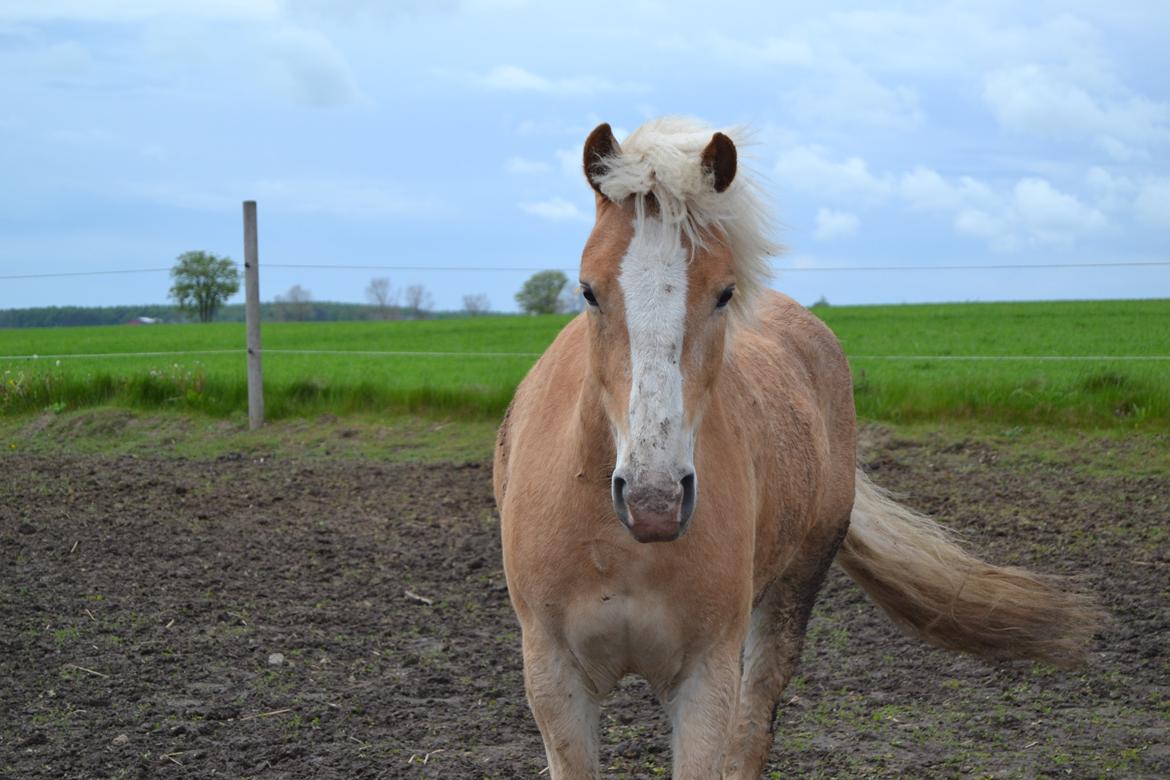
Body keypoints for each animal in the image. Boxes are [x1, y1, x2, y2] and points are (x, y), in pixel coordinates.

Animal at [496, 117, 1104, 780]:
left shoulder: (705, 680)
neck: (622, 550)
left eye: (724, 292)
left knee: (755, 726)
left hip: (791, 592)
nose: (654, 502)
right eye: (588, 290)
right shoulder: (555, 683)